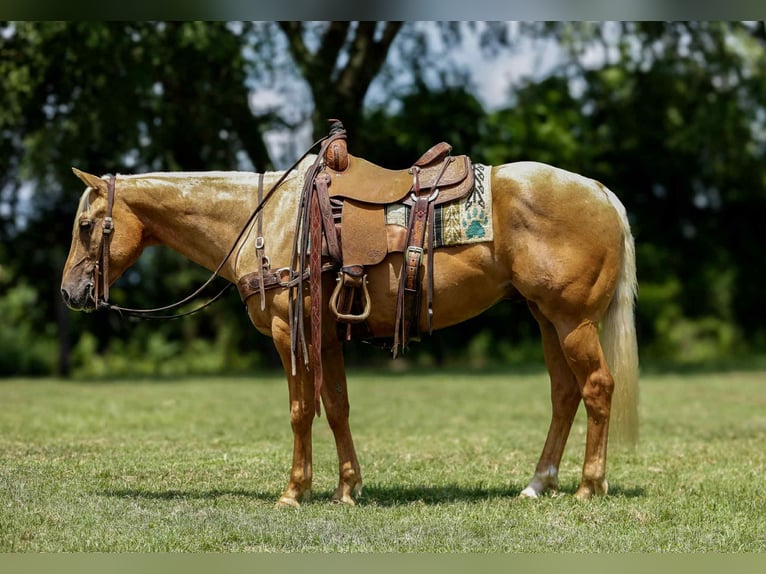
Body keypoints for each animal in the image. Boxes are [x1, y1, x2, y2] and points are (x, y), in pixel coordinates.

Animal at [60, 148, 638, 507]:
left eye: (86, 226)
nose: (70, 293)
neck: (266, 220)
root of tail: (600, 191)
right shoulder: (328, 336)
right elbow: (336, 407)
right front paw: (347, 489)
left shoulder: (288, 333)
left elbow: (301, 411)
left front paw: (294, 492)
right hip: (547, 319)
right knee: (564, 394)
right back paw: (538, 484)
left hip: (573, 321)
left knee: (596, 388)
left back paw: (589, 486)